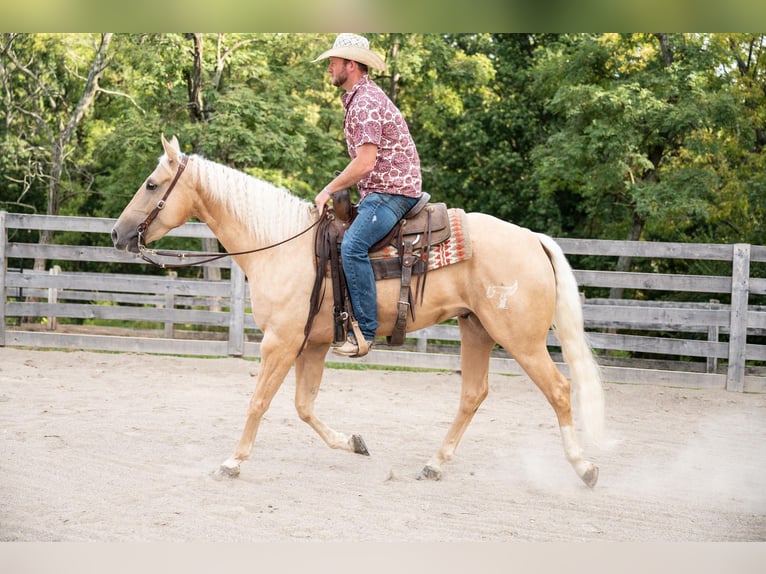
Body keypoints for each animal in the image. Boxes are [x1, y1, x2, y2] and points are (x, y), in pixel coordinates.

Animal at [112, 136, 608, 490]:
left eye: (152, 185)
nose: (118, 233)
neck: (282, 246)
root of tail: (532, 239)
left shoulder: (280, 342)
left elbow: (259, 401)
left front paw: (232, 462)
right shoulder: (310, 345)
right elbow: (304, 406)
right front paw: (352, 442)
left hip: (520, 339)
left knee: (560, 390)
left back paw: (584, 468)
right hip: (477, 330)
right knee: (473, 394)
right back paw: (434, 464)